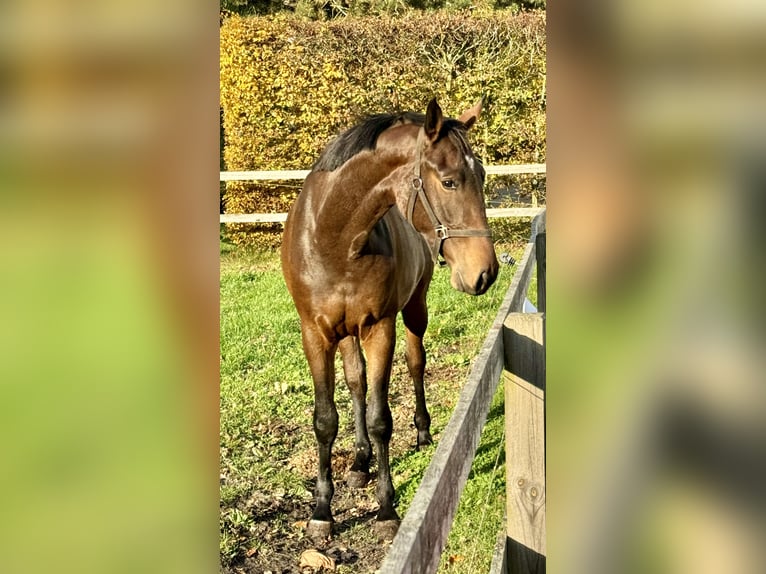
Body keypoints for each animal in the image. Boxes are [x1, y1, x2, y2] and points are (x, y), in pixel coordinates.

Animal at [280, 97, 498, 544]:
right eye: (450, 182)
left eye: (483, 175)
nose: (486, 272)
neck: (335, 239)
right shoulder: (316, 333)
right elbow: (326, 419)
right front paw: (322, 510)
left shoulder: (380, 327)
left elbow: (382, 419)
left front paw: (385, 509)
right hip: (346, 332)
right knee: (357, 381)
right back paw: (359, 462)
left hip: (414, 310)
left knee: (416, 364)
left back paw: (422, 430)